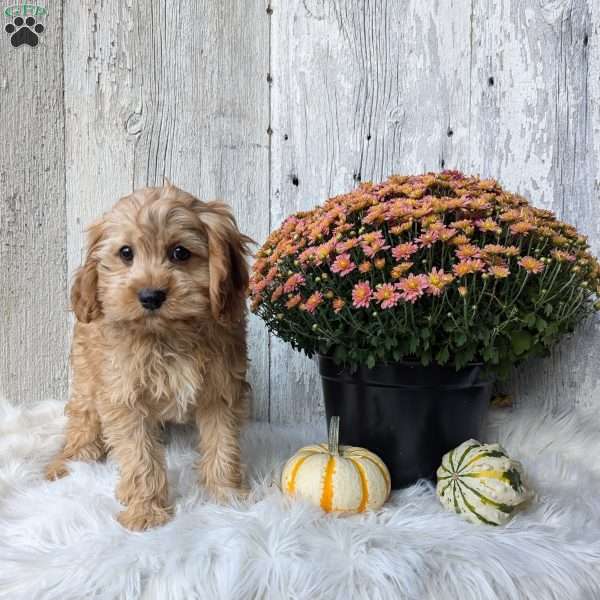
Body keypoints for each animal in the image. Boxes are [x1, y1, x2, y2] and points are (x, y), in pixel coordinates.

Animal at [47, 183, 252, 528]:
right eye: (125, 253)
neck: (167, 334)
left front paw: (227, 497)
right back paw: (67, 463)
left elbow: (223, 444)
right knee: (82, 422)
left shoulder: (221, 391)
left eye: (180, 252)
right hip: (87, 381)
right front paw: (146, 511)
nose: (151, 296)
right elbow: (139, 457)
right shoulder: (124, 397)